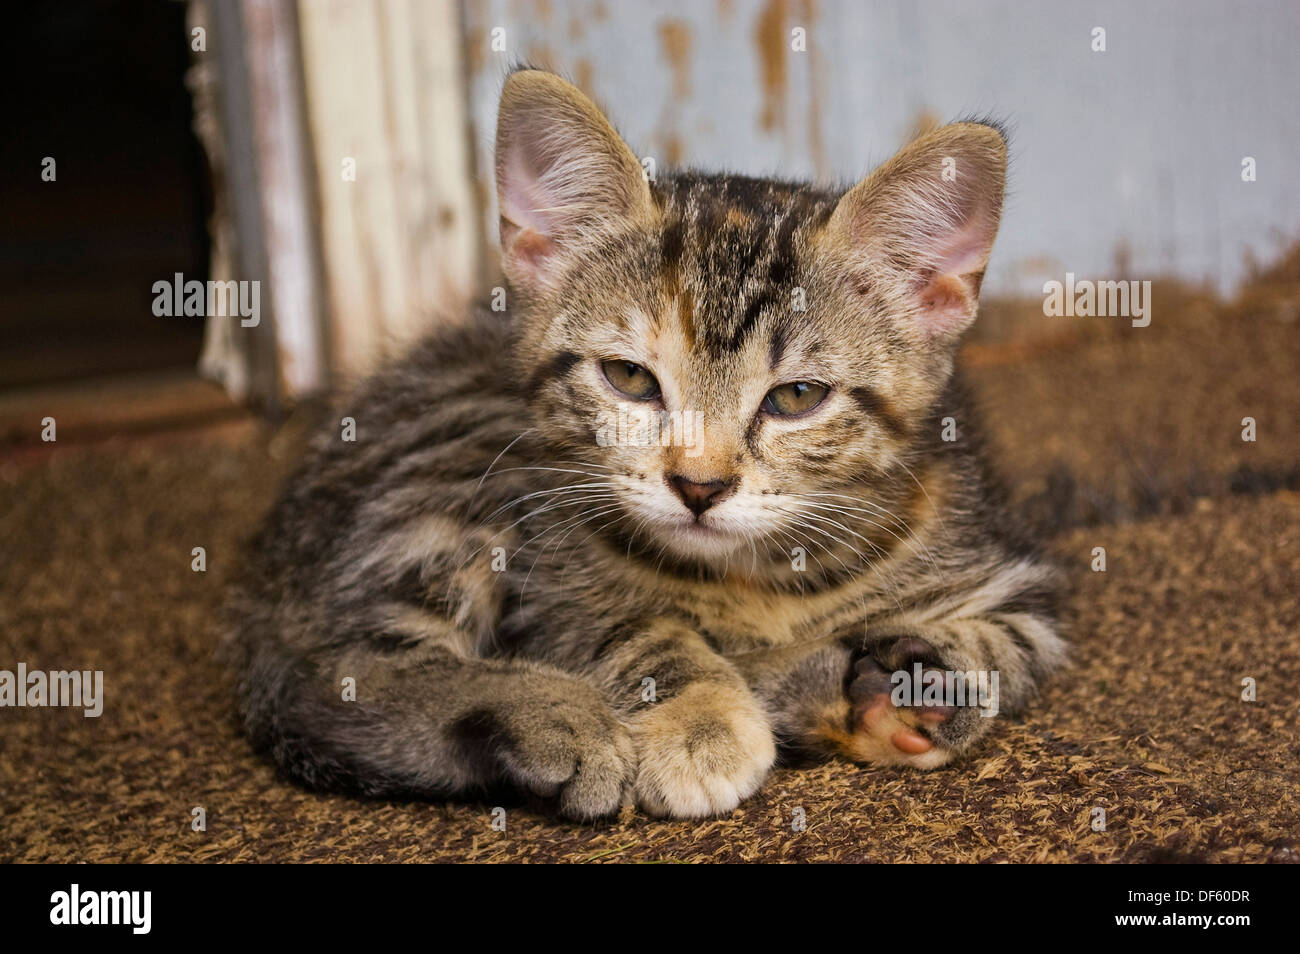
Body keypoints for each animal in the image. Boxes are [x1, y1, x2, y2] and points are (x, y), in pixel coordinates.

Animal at [231, 72, 1066, 821]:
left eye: (797, 397)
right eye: (630, 378)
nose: (699, 486)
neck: (756, 580)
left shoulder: (1010, 576)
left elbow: (1006, 649)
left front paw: (916, 685)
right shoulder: (553, 590)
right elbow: (639, 626)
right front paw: (703, 717)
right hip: (453, 461)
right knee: (331, 678)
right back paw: (559, 720)